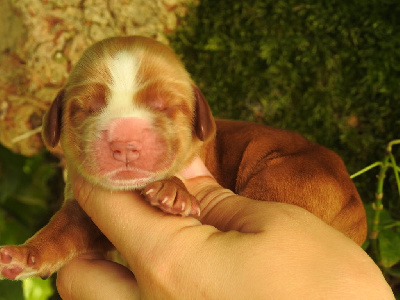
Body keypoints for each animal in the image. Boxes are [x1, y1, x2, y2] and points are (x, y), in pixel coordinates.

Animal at [0, 36, 366, 280]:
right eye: (86, 109)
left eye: (165, 107)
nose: (125, 142)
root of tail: (355, 203)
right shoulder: (81, 212)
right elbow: (60, 232)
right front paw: (23, 256)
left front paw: (172, 192)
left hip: (284, 180)